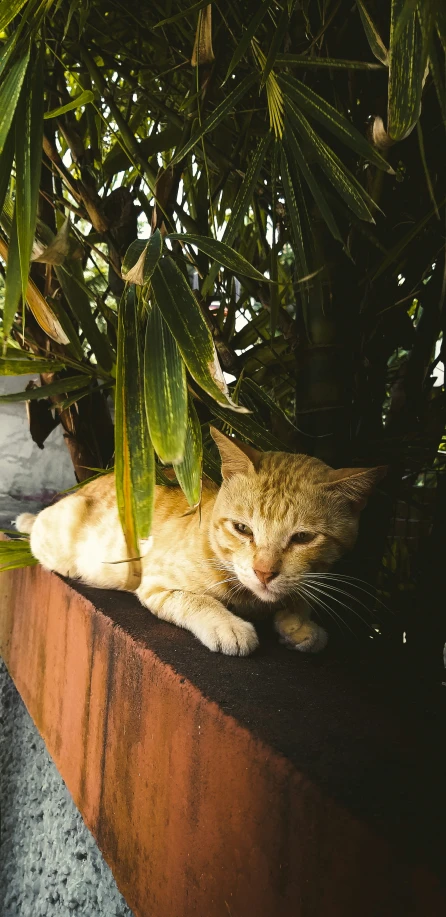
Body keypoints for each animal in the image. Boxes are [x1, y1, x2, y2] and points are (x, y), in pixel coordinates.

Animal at [13, 426, 384, 656]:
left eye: (303, 537)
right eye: (242, 528)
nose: (264, 573)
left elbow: (297, 598)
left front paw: (300, 625)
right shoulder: (157, 585)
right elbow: (198, 600)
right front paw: (229, 625)